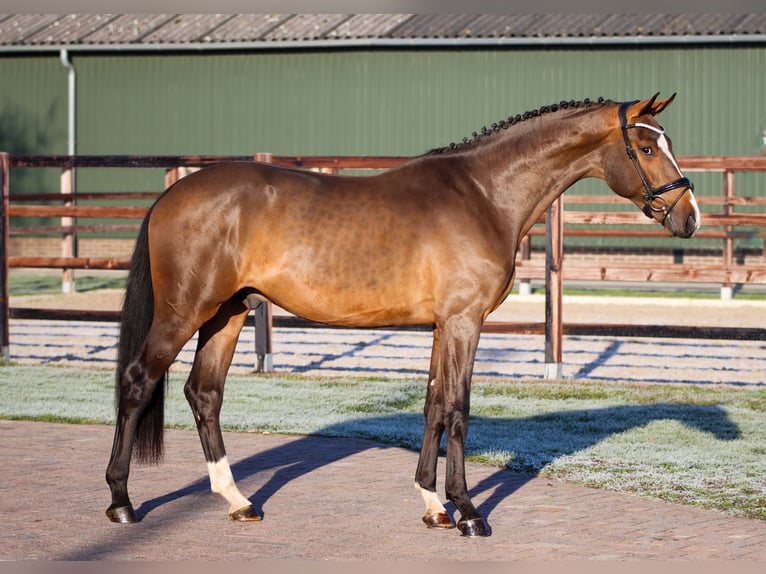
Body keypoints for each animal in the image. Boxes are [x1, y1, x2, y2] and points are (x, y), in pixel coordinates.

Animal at [106, 92, 704, 536]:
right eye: (646, 147)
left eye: (668, 143)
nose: (689, 216)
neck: (483, 194)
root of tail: (171, 196)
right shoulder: (465, 321)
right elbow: (458, 409)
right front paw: (468, 511)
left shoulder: (444, 325)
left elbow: (433, 406)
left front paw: (433, 505)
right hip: (185, 312)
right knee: (138, 381)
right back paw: (122, 501)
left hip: (227, 314)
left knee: (204, 393)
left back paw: (238, 500)